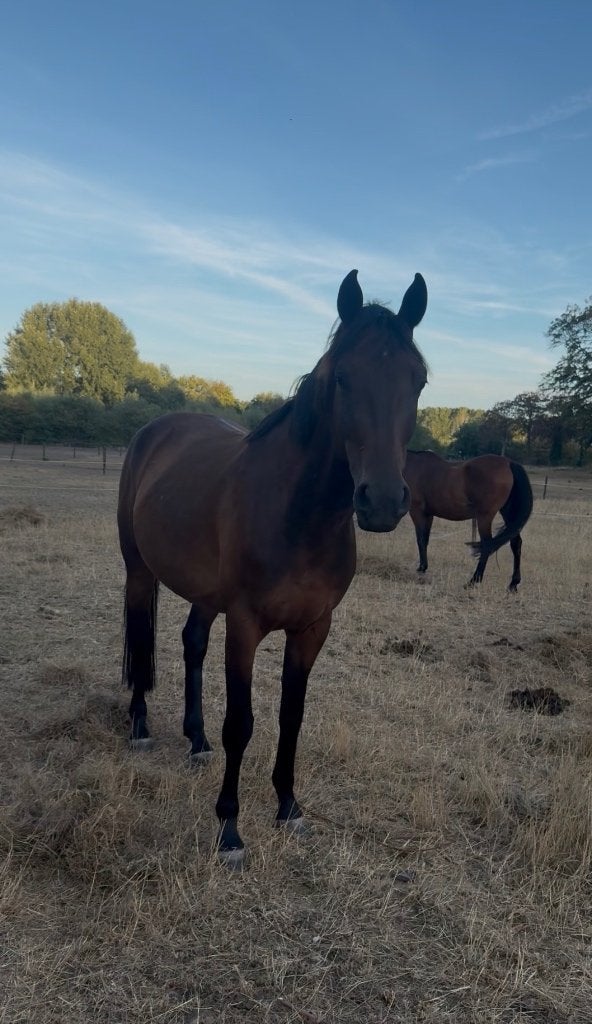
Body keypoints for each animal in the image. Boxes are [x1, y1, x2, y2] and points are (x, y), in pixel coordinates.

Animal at [117, 269, 428, 866]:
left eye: (419, 380)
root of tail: (153, 431)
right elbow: (242, 723)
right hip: (139, 572)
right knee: (142, 639)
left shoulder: (312, 628)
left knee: (191, 642)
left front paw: (288, 807)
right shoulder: (245, 626)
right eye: (343, 378)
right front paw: (229, 830)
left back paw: (195, 741)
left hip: (204, 594)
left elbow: (292, 715)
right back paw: (140, 726)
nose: (381, 501)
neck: (298, 515)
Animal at [402, 450, 533, 590]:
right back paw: (513, 584)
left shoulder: (417, 512)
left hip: (484, 517)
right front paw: (423, 567)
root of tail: (509, 463)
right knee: (515, 543)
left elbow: (420, 540)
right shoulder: (428, 514)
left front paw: (421, 568)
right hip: (507, 513)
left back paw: (474, 580)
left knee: (487, 544)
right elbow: (425, 540)